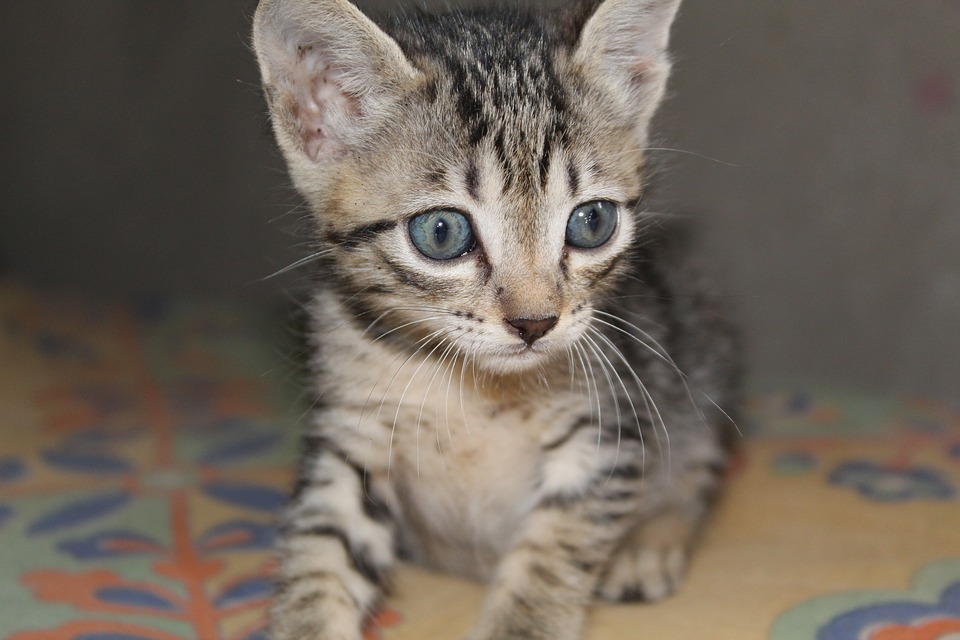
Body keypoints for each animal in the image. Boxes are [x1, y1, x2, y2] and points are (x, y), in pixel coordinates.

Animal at [252, 0, 740, 638]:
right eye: (441, 232)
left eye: (592, 222)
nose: (535, 323)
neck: (469, 386)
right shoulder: (350, 433)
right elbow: (321, 547)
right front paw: (307, 619)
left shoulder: (605, 429)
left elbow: (553, 558)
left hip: (700, 355)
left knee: (697, 461)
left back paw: (648, 543)